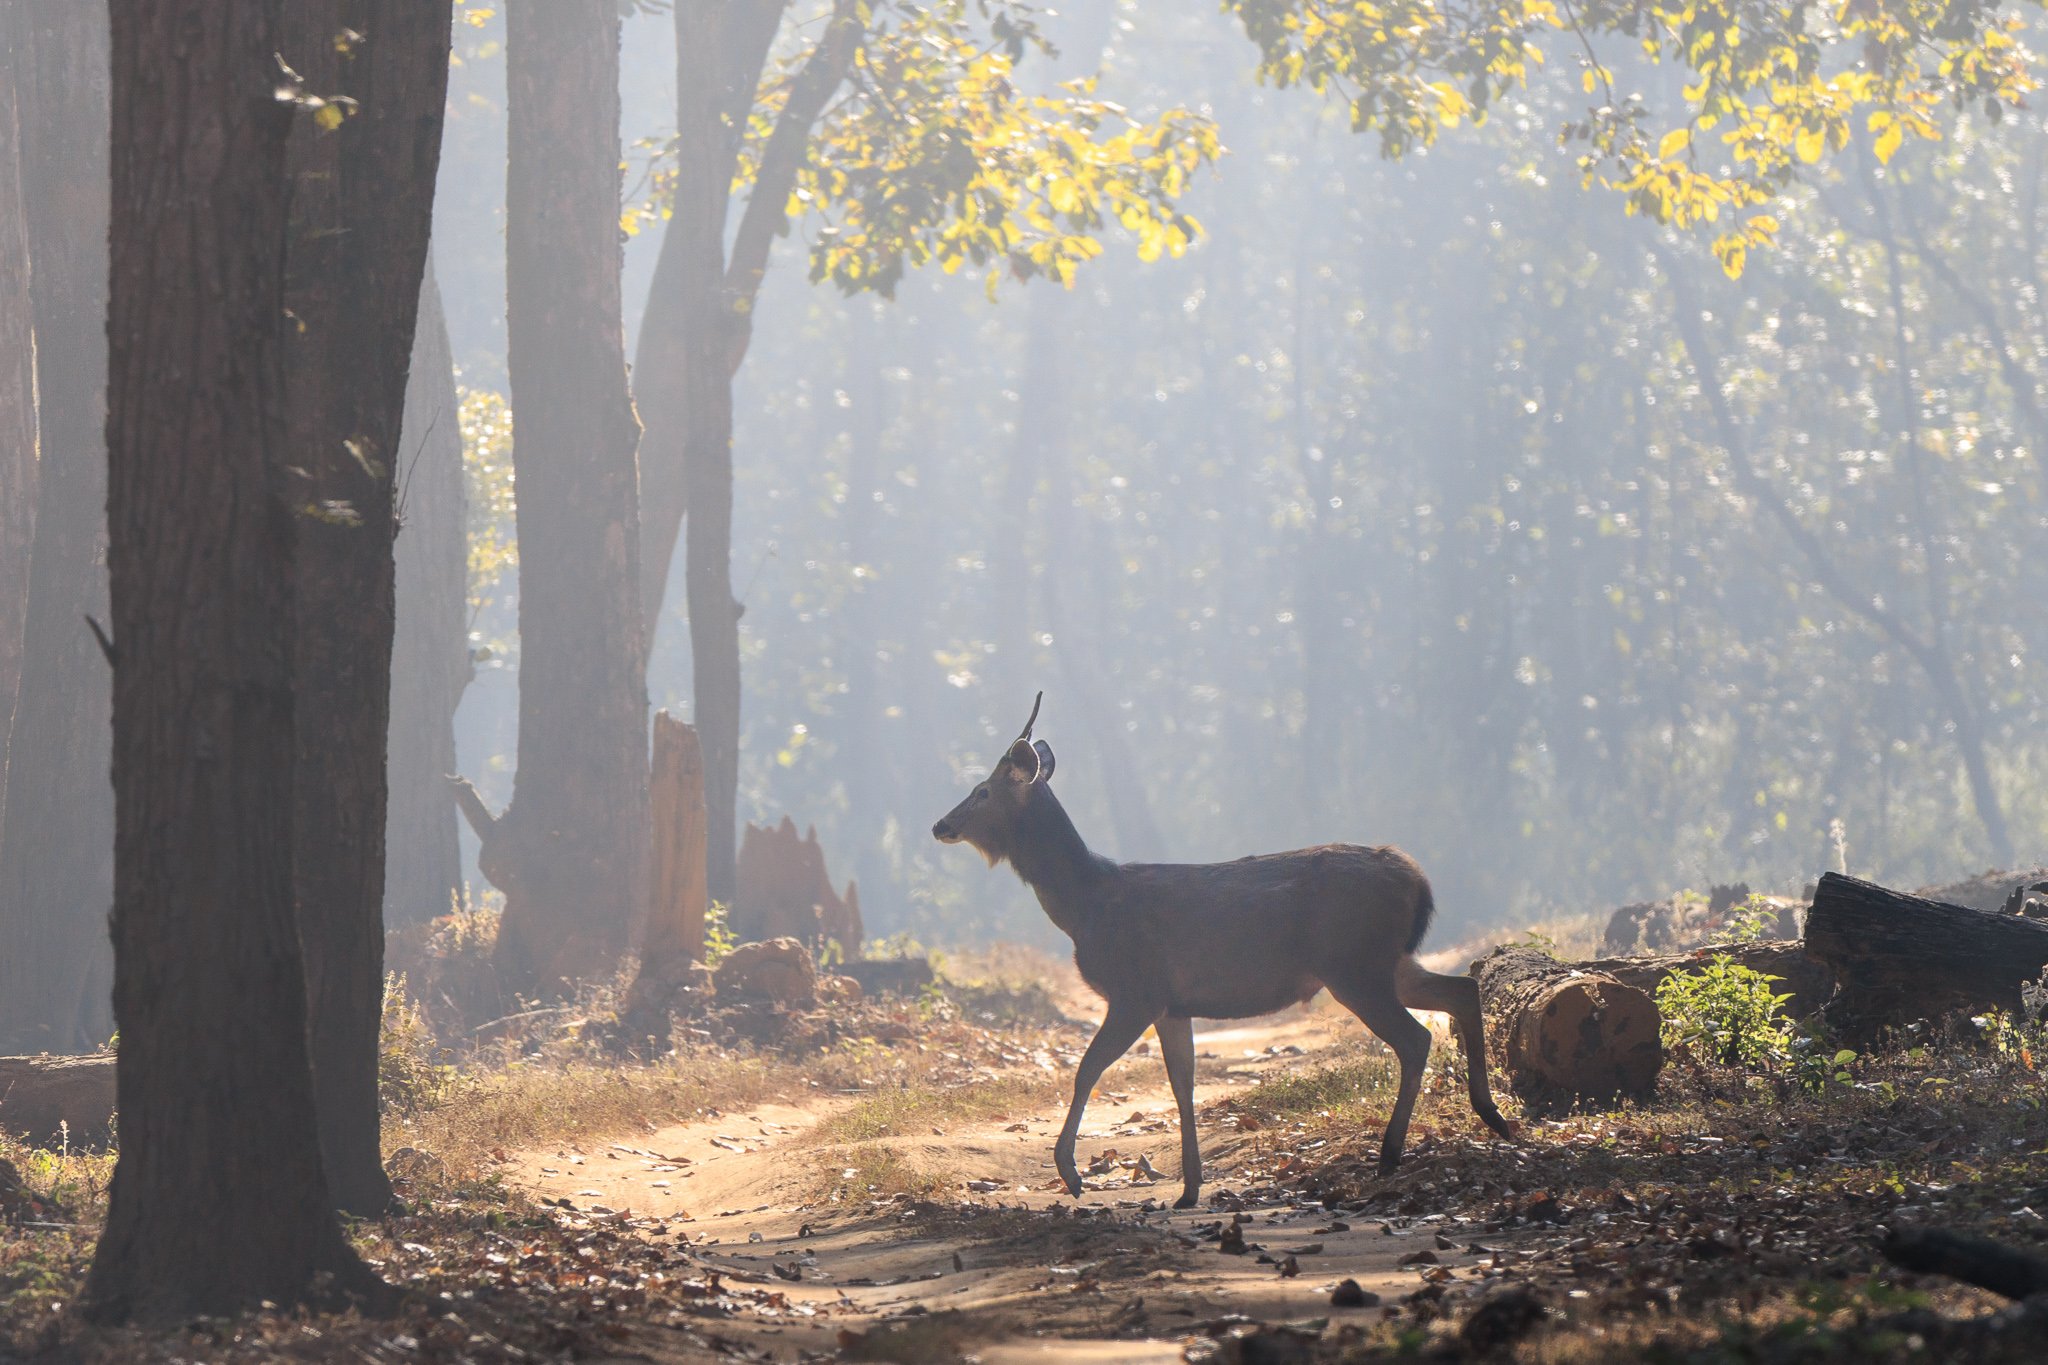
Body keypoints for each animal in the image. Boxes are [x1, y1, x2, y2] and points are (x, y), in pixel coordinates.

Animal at [932, 694, 1516, 1209]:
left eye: (982, 790)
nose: (940, 824)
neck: (1085, 908)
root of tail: (1417, 880)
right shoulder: (1172, 1005)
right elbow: (1182, 1086)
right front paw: (1190, 1188)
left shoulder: (1135, 989)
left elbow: (1087, 1070)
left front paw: (1072, 1174)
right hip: (1386, 962)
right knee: (1462, 988)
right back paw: (1493, 1116)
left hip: (1354, 965)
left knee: (1416, 1037)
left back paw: (1393, 1152)